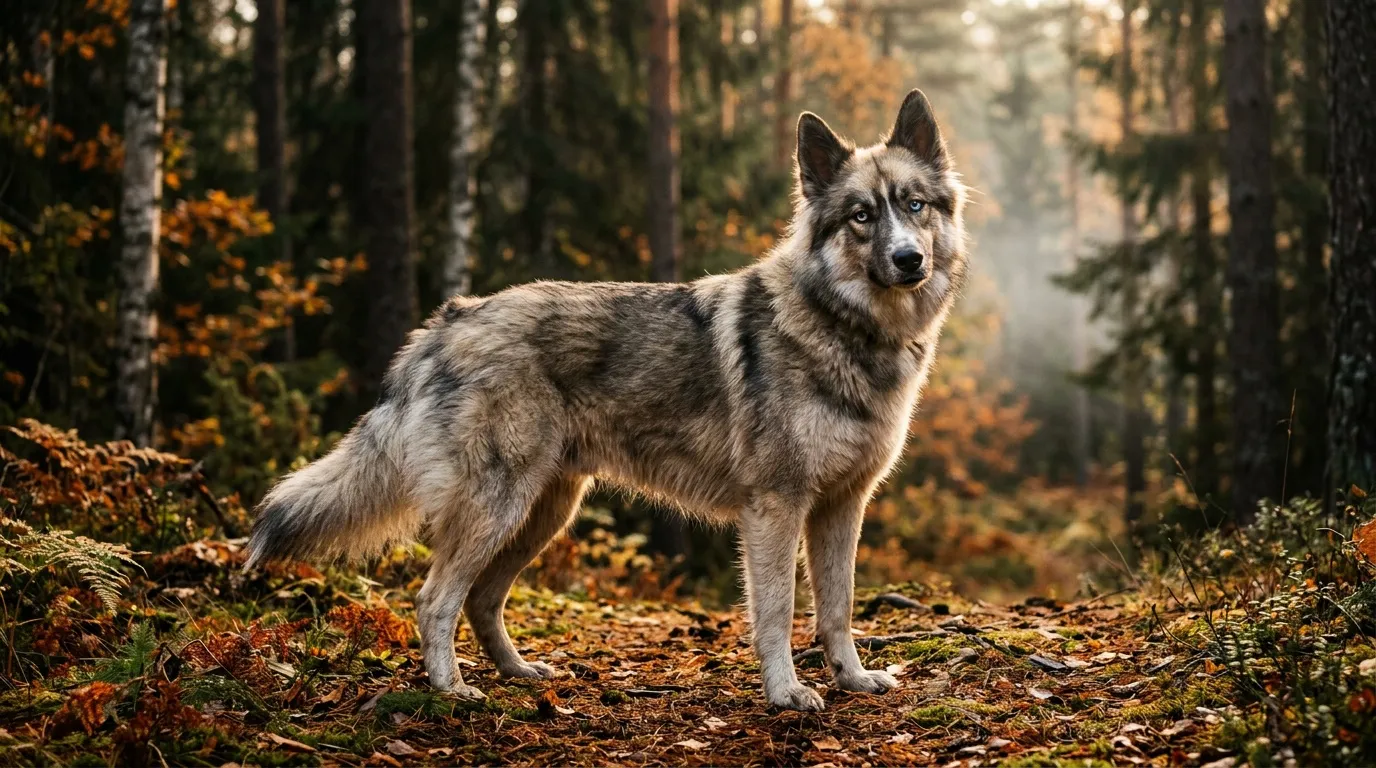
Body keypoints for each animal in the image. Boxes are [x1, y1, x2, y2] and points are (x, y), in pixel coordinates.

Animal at [244, 90, 968, 711]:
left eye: (915, 206)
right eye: (861, 216)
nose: (909, 260)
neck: (848, 330)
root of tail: (449, 319)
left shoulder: (843, 507)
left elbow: (839, 608)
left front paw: (853, 678)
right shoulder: (775, 508)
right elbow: (777, 612)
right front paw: (786, 693)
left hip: (543, 515)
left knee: (481, 601)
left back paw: (518, 672)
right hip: (498, 510)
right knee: (434, 599)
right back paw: (453, 691)